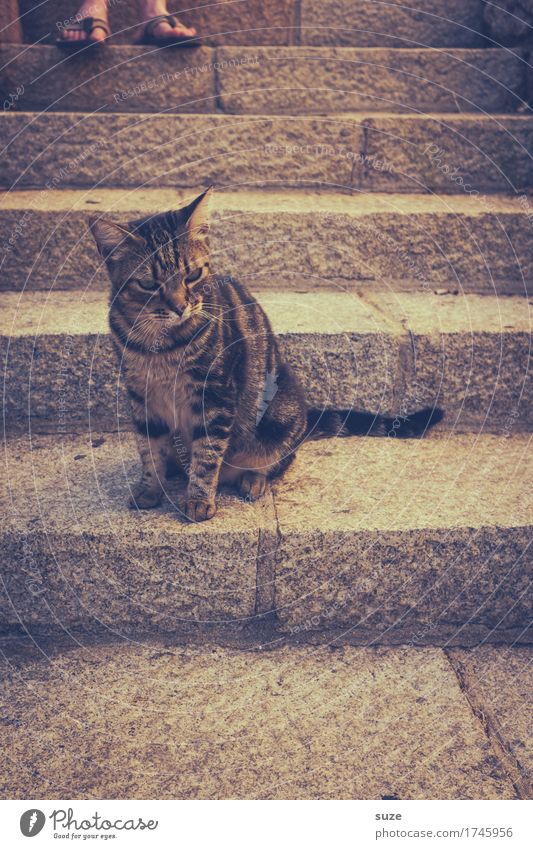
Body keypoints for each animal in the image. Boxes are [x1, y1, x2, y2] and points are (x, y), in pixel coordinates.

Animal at [90, 189, 440, 520]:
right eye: (149, 284)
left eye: (192, 275)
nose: (179, 307)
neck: (160, 347)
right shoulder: (140, 396)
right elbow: (150, 451)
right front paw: (151, 489)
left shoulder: (216, 396)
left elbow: (206, 456)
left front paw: (198, 500)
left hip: (277, 415)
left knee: (278, 460)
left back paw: (252, 480)